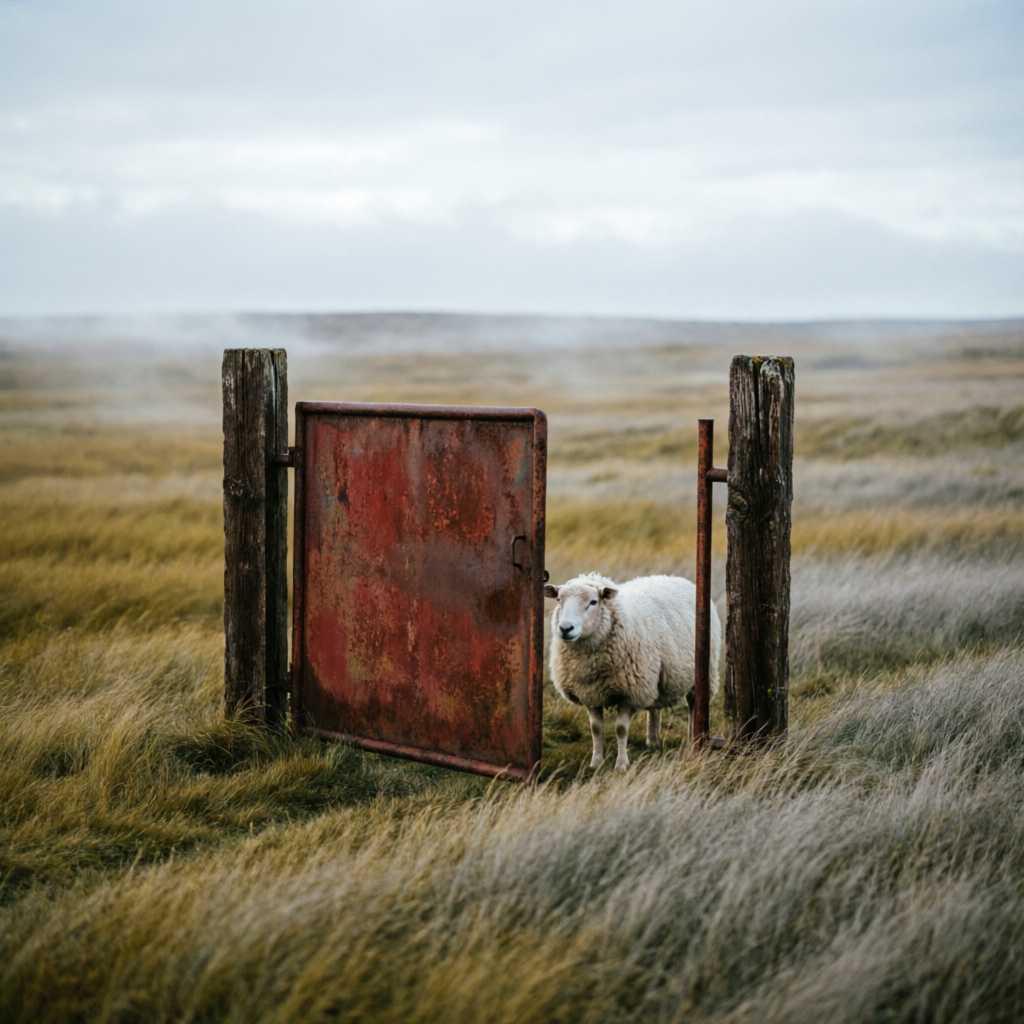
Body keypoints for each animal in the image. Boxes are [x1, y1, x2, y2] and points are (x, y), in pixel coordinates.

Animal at [544, 572, 721, 770]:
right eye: (559, 599)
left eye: (593, 602)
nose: (565, 628)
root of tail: (673, 577)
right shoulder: (591, 693)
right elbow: (596, 729)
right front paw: (596, 763)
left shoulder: (630, 694)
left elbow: (621, 729)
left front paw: (621, 765)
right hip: (653, 676)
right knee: (655, 708)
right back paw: (653, 741)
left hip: (703, 675)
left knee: (694, 708)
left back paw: (693, 744)